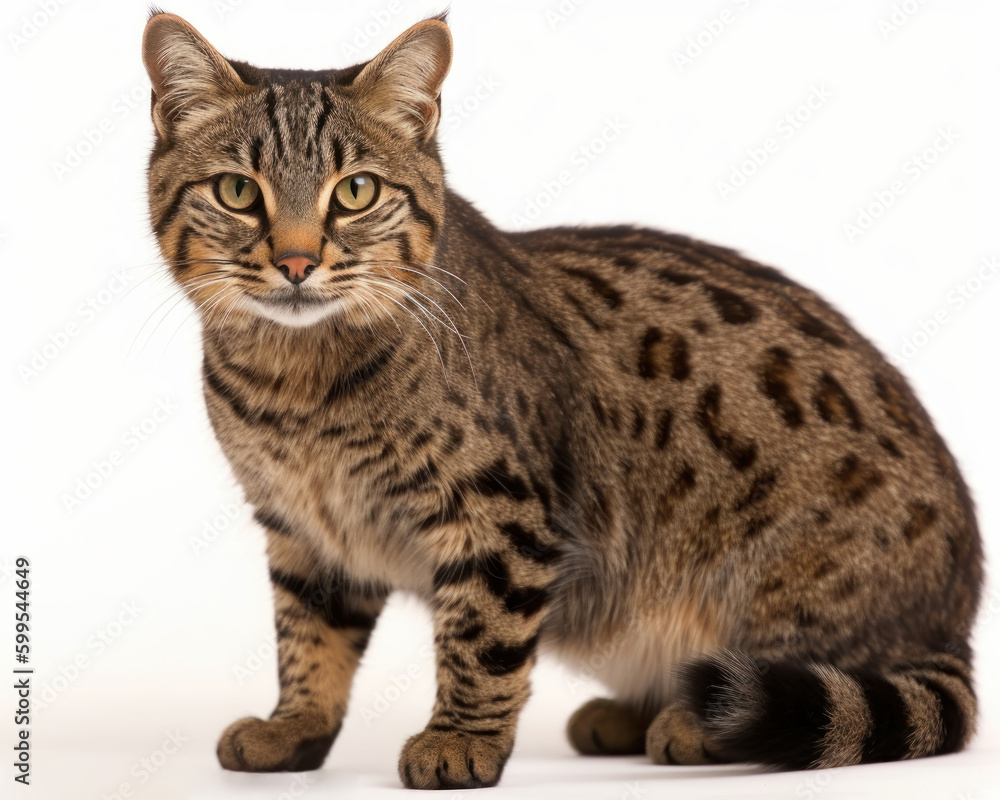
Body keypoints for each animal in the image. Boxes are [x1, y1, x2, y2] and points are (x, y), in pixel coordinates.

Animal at [141, 9, 984, 792]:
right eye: (238, 191)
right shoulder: (303, 532)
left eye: (355, 192)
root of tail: (956, 620)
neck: (295, 389)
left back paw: (695, 724)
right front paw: (295, 728)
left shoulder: (497, 515)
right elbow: (307, 639)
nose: (295, 261)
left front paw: (461, 741)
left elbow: (481, 639)